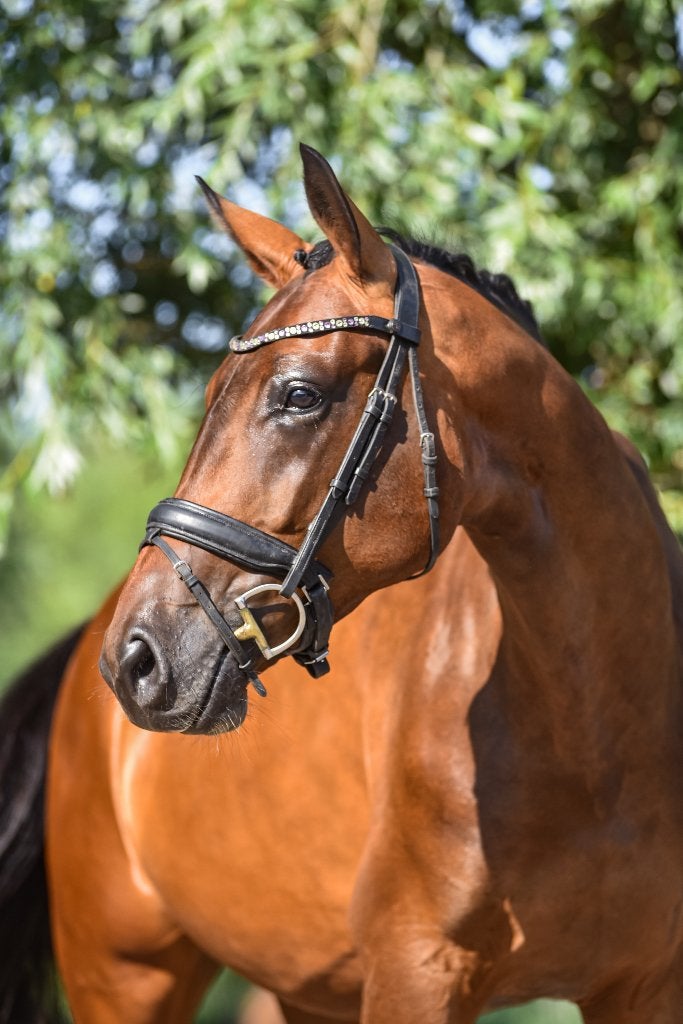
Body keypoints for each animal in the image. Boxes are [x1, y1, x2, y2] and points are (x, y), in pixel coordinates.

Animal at [1, 143, 682, 1024]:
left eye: (299, 394)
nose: (136, 659)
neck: (593, 739)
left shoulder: (645, 986)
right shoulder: (413, 974)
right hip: (122, 979)